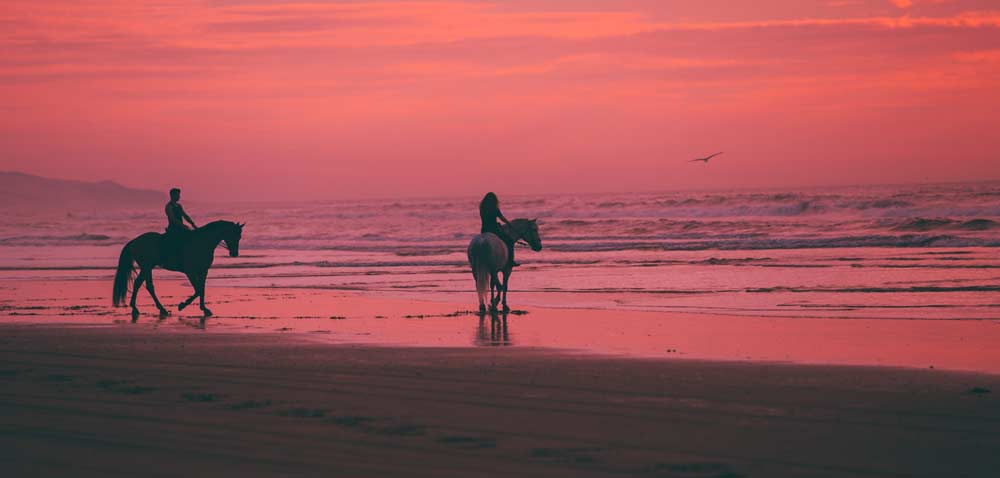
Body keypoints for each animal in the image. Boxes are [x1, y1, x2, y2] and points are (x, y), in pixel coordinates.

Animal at [113, 221, 244, 320]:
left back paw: (136, 308)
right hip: (147, 266)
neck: (202, 242)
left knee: (138, 283)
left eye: (239, 237)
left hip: (146, 267)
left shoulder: (203, 271)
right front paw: (182, 305)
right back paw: (161, 309)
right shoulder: (190, 271)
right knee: (148, 285)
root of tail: (134, 241)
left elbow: (202, 289)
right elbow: (197, 290)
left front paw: (204, 309)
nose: (234, 253)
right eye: (234, 235)